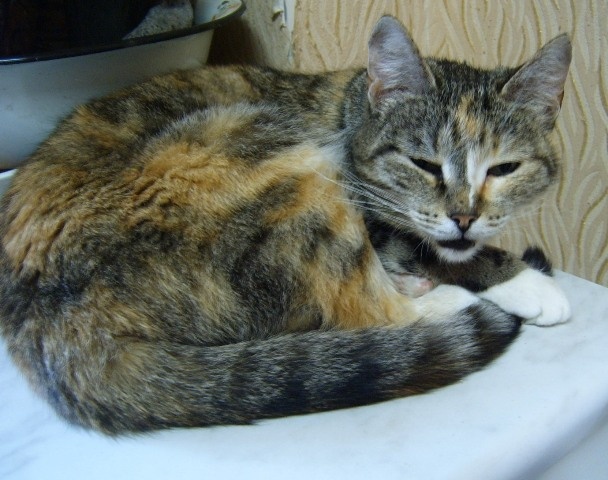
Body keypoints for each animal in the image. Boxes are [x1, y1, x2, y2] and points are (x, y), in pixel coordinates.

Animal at [0, 16, 571, 434]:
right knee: (366, 308)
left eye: (504, 168)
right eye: (424, 164)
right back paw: (446, 301)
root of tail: (51, 323)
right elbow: (420, 245)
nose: (465, 217)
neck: (351, 110)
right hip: (261, 154)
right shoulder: (366, 206)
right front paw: (526, 281)